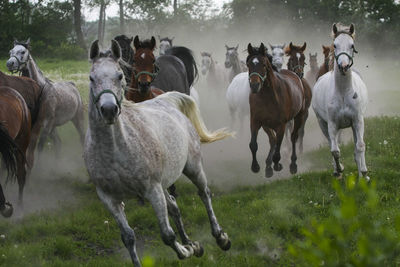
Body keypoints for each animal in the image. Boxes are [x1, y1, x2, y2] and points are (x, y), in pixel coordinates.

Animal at [86, 40, 233, 267]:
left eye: (120, 76)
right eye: (92, 78)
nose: (109, 109)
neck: (115, 150)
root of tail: (166, 100)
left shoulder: (152, 190)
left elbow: (167, 234)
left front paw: (186, 251)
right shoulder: (109, 198)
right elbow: (128, 237)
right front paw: (191, 246)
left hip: (192, 168)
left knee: (204, 194)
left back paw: (220, 237)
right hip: (163, 182)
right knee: (173, 205)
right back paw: (191, 242)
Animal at [247, 43, 310, 178]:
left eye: (263, 64)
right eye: (249, 64)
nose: (254, 85)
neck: (267, 97)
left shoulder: (281, 124)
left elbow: (279, 146)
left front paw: (277, 164)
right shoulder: (256, 121)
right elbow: (253, 144)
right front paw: (255, 166)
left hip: (299, 116)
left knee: (293, 137)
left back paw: (292, 164)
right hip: (266, 124)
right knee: (273, 140)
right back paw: (268, 166)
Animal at [312, 23, 368, 180]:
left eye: (352, 45)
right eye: (335, 45)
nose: (343, 66)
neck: (343, 92)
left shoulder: (357, 121)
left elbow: (360, 146)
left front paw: (364, 174)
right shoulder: (332, 124)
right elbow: (335, 150)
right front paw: (339, 170)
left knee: (356, 146)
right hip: (323, 124)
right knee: (332, 144)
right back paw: (337, 170)